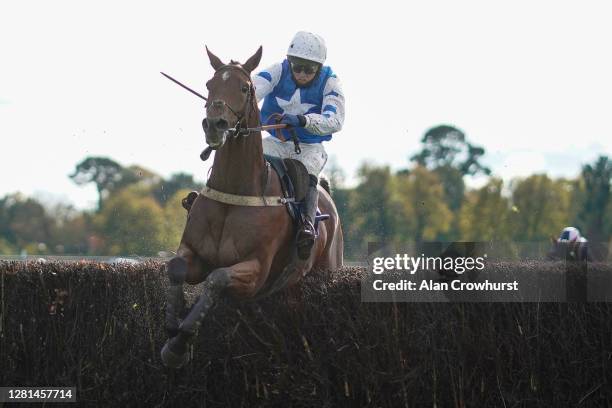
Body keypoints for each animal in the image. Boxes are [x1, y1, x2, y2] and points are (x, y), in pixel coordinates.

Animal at [161, 46, 344, 368]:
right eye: (209, 84)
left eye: (245, 88)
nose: (215, 125)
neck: (238, 189)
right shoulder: (194, 253)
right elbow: (176, 267)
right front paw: (173, 326)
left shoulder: (255, 273)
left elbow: (216, 279)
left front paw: (180, 343)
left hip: (328, 271)